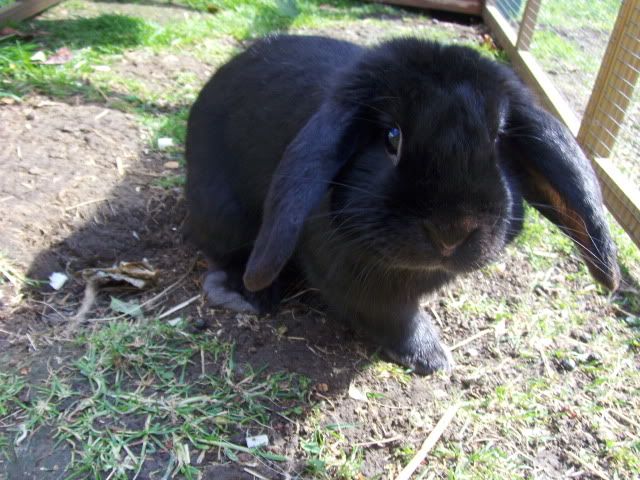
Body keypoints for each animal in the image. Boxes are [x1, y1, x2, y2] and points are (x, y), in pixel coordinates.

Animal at [185, 35, 620, 374]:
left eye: (498, 139)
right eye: (392, 137)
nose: (451, 232)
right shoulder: (348, 278)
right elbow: (393, 317)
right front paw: (432, 358)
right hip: (222, 216)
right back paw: (242, 294)